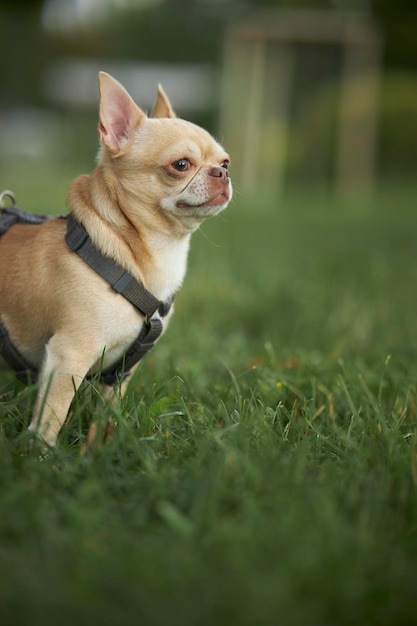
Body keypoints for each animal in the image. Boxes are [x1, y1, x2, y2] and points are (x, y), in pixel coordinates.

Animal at [0, 72, 231, 444]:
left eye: (225, 162)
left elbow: (106, 414)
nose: (222, 174)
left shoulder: (120, 372)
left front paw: (101, 445)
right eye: (181, 165)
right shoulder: (68, 358)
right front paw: (43, 455)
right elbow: (51, 417)